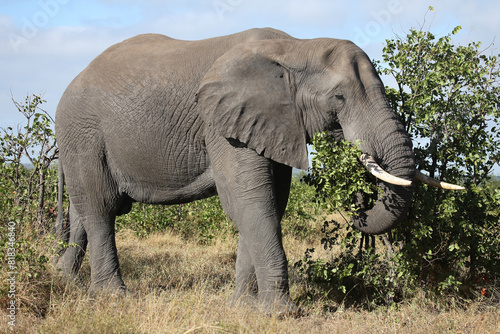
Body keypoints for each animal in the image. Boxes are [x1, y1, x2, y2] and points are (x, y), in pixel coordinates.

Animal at [52, 27, 458, 314]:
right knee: (101, 209)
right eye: (339, 98)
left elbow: (268, 203)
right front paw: (281, 314)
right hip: (83, 134)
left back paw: (64, 281)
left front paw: (245, 309)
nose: (359, 201)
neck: (295, 47)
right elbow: (249, 201)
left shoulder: (273, 123)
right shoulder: (222, 124)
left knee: (84, 211)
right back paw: (111, 298)